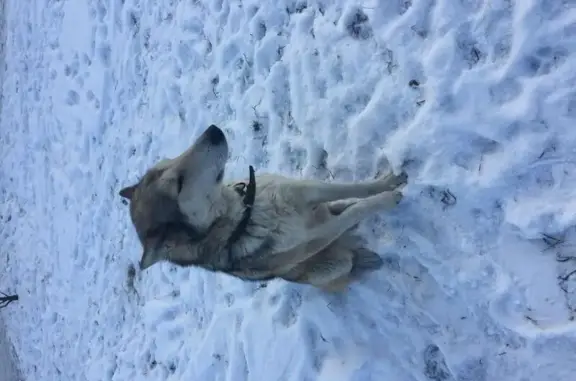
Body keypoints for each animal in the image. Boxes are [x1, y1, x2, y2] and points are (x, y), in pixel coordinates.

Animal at [118, 124, 404, 290]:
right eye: (177, 184)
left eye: (167, 162)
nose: (213, 129)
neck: (250, 212)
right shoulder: (317, 236)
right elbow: (358, 210)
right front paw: (389, 199)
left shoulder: (307, 191)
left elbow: (355, 190)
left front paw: (388, 182)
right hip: (331, 266)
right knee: (348, 255)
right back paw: (362, 257)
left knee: (340, 207)